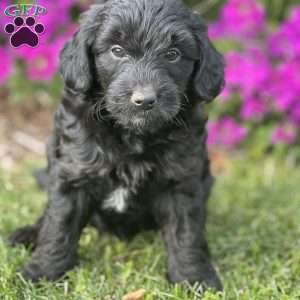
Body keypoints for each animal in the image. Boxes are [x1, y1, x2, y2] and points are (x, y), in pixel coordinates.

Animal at [9, 0, 224, 292]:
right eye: (117, 51)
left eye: (173, 54)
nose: (144, 100)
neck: (132, 134)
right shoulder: (73, 173)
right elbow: (58, 225)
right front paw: (43, 273)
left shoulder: (182, 180)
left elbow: (186, 232)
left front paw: (194, 279)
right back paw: (28, 234)